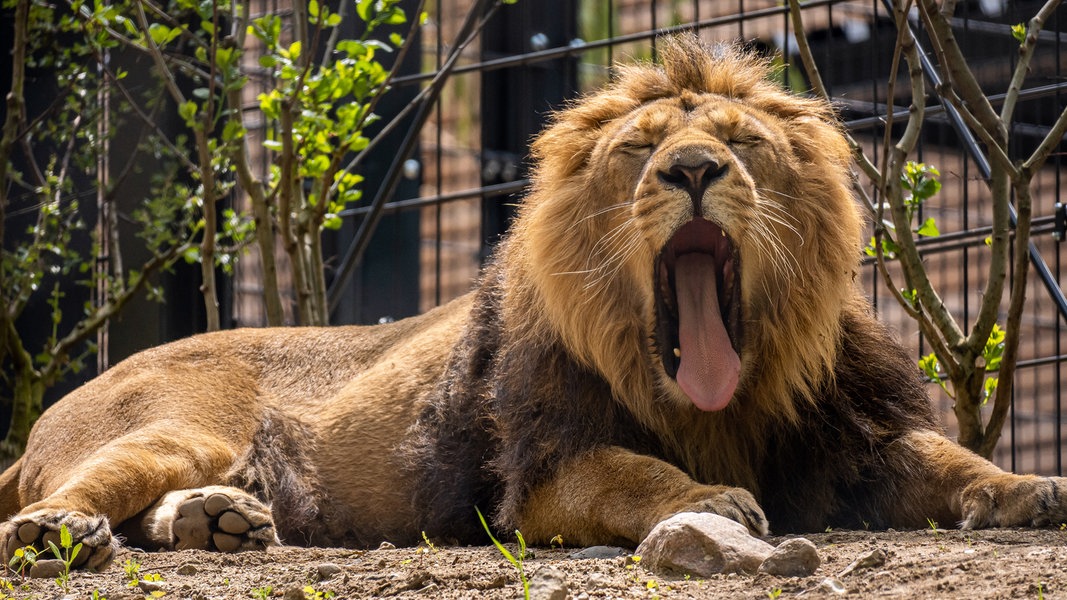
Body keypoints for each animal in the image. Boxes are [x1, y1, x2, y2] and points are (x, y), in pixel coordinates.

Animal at [2, 34, 1067, 567]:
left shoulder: (850, 435)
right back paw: (62, 533)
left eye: (741, 143)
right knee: (69, 495)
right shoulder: (541, 475)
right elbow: (629, 475)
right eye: (640, 150)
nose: (692, 169)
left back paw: (217, 524)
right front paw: (707, 498)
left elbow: (947, 458)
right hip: (169, 430)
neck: (718, 397)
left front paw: (1030, 486)